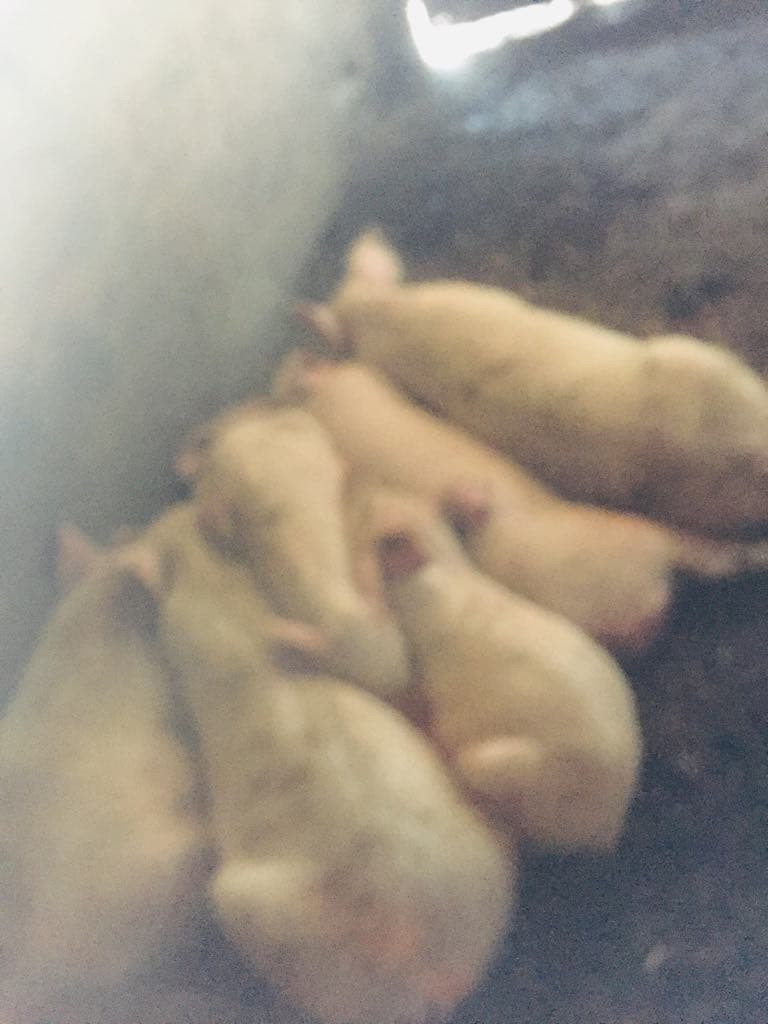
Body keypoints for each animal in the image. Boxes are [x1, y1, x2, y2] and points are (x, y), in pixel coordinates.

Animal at [366, 486, 642, 852]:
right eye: (409, 499)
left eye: (388, 538)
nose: (374, 497)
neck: (445, 565)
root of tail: (609, 828)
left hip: (511, 766)